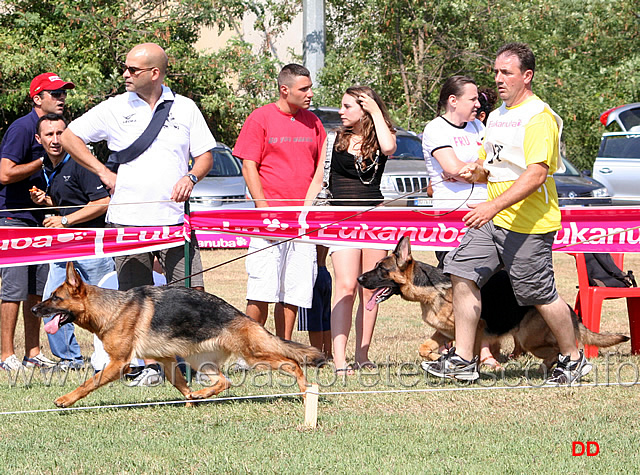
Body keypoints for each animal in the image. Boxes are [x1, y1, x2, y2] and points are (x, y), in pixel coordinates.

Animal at [31, 262, 322, 408]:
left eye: (55, 298)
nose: (34, 309)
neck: (111, 309)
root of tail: (241, 315)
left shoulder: (119, 364)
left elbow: (89, 383)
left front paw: (65, 400)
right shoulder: (168, 361)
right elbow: (182, 385)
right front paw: (190, 401)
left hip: (254, 356)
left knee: (292, 363)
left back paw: (305, 391)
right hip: (200, 361)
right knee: (224, 382)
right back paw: (201, 396)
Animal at [360, 238, 632, 368]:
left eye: (381, 269)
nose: (359, 278)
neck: (433, 289)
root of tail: (564, 305)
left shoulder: (474, 328)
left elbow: (470, 354)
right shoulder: (443, 332)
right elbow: (424, 348)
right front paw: (438, 357)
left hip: (529, 338)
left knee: (561, 348)